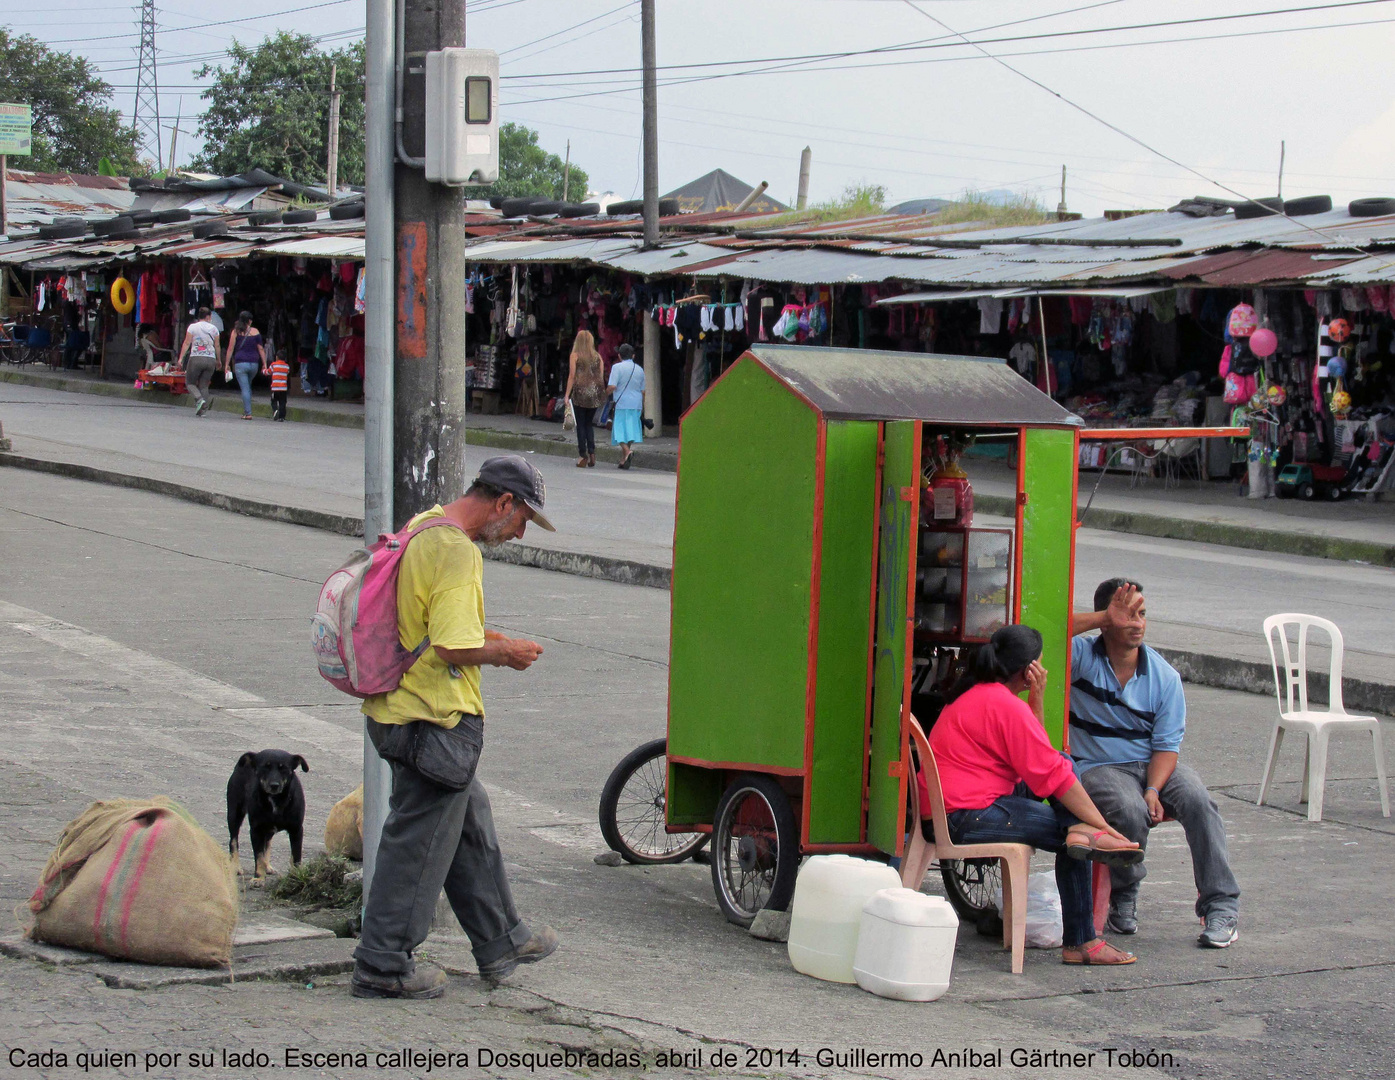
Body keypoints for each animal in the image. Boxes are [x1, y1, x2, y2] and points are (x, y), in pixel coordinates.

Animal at [227, 753, 309, 881]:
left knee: (267, 843)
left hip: (269, 828)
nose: (274, 785)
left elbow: (296, 856)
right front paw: (258, 878)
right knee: (233, 841)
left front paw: (295, 875)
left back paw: (267, 866)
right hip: (234, 813)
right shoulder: (256, 830)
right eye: (264, 767)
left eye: (284, 768)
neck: (276, 800)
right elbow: (259, 856)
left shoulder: (296, 829)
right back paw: (236, 866)